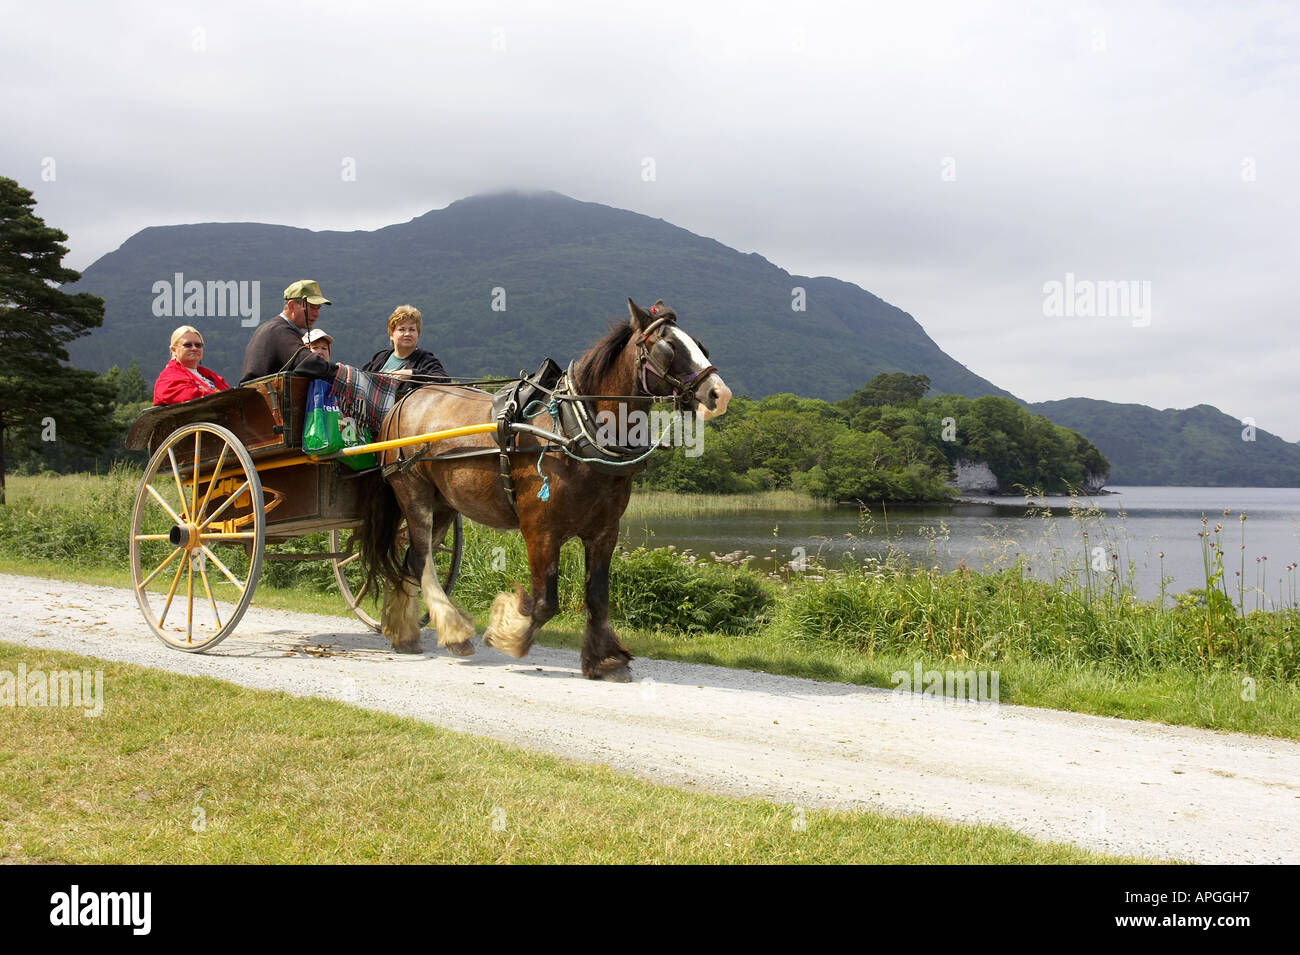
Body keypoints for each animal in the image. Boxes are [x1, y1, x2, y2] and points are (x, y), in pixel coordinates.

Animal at [356, 298, 733, 680]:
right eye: (667, 347)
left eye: (700, 345)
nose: (719, 395)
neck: (573, 430)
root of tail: (404, 400)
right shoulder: (540, 531)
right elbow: (544, 603)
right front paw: (506, 633)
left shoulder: (604, 532)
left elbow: (597, 595)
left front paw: (604, 660)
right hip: (412, 492)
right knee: (423, 562)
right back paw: (454, 632)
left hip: (444, 503)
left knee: (411, 561)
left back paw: (406, 634)